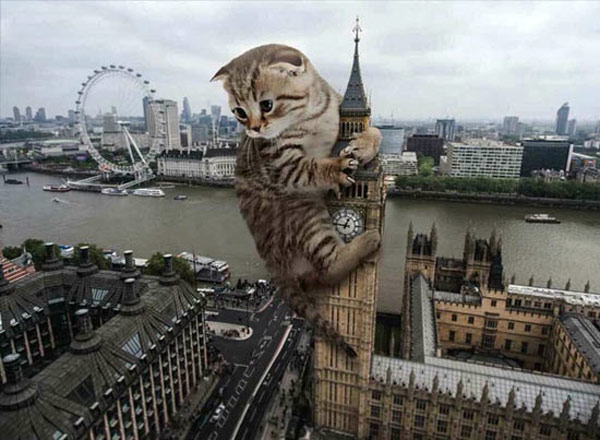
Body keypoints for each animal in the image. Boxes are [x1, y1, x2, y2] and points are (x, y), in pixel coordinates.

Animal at [211, 43, 380, 358]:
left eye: (267, 105)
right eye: (239, 112)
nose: (254, 129)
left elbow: (375, 131)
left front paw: (363, 145)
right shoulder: (283, 165)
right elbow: (311, 168)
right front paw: (336, 168)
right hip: (308, 217)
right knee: (328, 267)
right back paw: (368, 239)